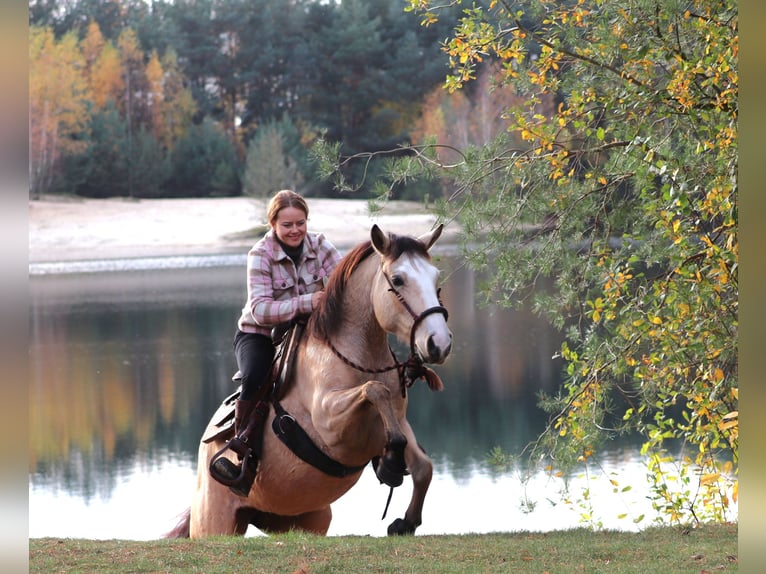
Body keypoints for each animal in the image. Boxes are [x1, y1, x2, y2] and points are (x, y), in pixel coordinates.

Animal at [165, 224, 452, 538]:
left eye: (435, 276)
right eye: (398, 280)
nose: (439, 343)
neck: (361, 359)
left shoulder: (398, 421)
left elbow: (423, 467)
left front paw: (405, 521)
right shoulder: (333, 426)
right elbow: (374, 391)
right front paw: (390, 464)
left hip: (309, 519)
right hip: (216, 524)